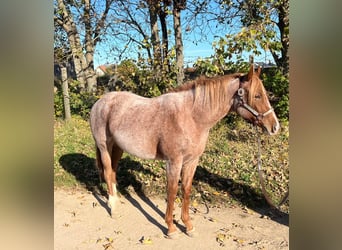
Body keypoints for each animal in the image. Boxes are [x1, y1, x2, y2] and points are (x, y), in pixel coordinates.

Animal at [89, 63, 280, 237]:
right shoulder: (173, 161)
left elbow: (186, 190)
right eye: (257, 95)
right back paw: (113, 209)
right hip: (104, 147)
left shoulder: (192, 161)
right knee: (108, 172)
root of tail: (100, 102)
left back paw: (115, 201)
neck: (191, 117)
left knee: (113, 171)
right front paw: (171, 227)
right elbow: (172, 190)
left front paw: (188, 225)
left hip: (118, 148)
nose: (275, 127)